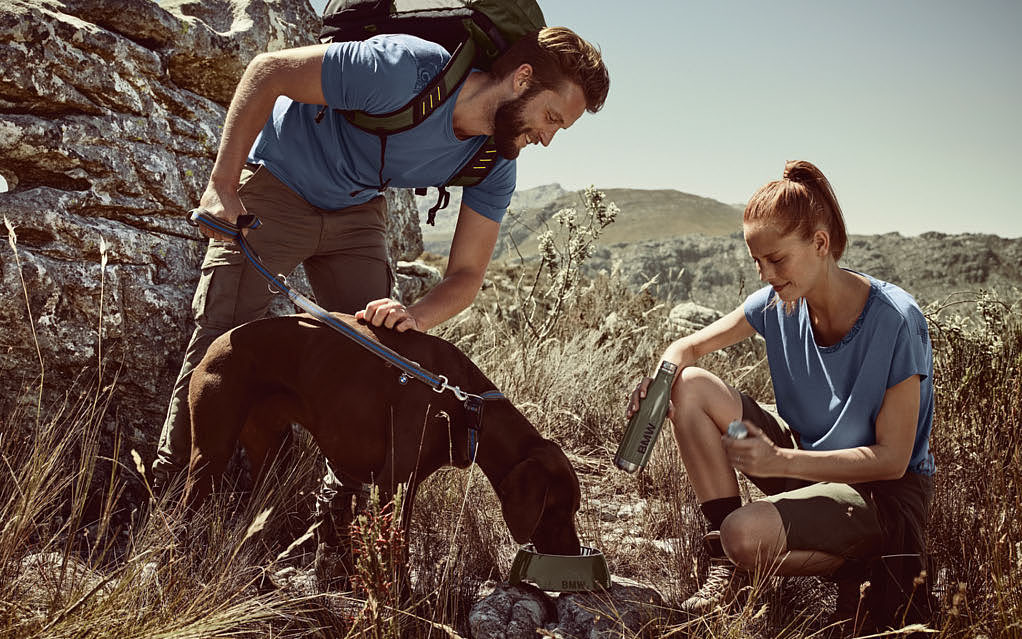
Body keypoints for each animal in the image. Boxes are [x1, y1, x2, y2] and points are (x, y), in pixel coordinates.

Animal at [183, 310, 584, 556]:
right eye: (557, 509)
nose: (573, 552)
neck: (467, 404)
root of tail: (219, 341)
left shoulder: (407, 484)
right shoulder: (393, 483)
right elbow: (396, 554)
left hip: (273, 458)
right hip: (210, 454)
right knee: (187, 510)